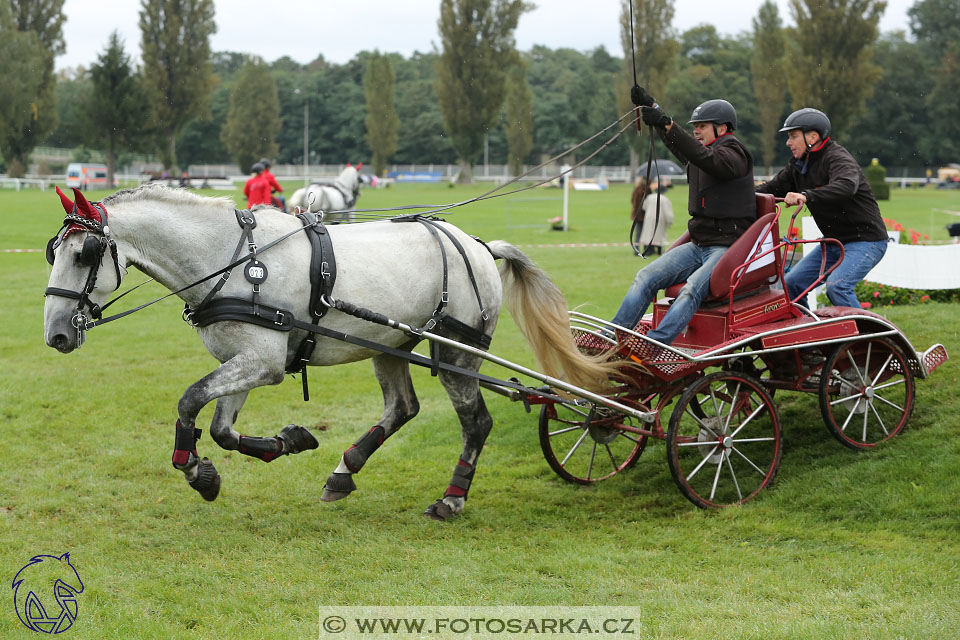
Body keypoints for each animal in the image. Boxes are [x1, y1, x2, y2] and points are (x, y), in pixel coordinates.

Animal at [43, 182, 616, 516]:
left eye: (85, 252)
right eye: (53, 251)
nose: (56, 335)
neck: (232, 260)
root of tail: (477, 245)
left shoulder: (262, 363)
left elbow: (189, 402)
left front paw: (195, 470)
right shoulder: (245, 361)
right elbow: (223, 428)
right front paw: (284, 443)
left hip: (457, 351)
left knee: (476, 422)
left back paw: (452, 498)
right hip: (393, 345)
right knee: (402, 408)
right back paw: (345, 471)